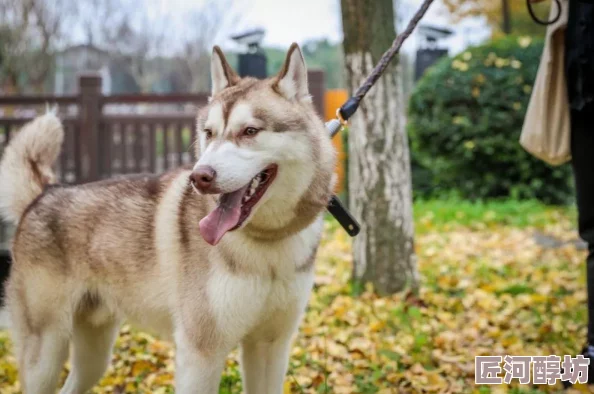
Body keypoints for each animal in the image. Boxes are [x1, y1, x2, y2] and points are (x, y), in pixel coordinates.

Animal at [0, 44, 332, 392]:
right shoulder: (200, 353)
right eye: (209, 133)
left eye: (250, 131)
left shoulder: (270, 345)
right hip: (46, 354)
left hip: (93, 357)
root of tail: (44, 193)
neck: (267, 244)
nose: (200, 177)